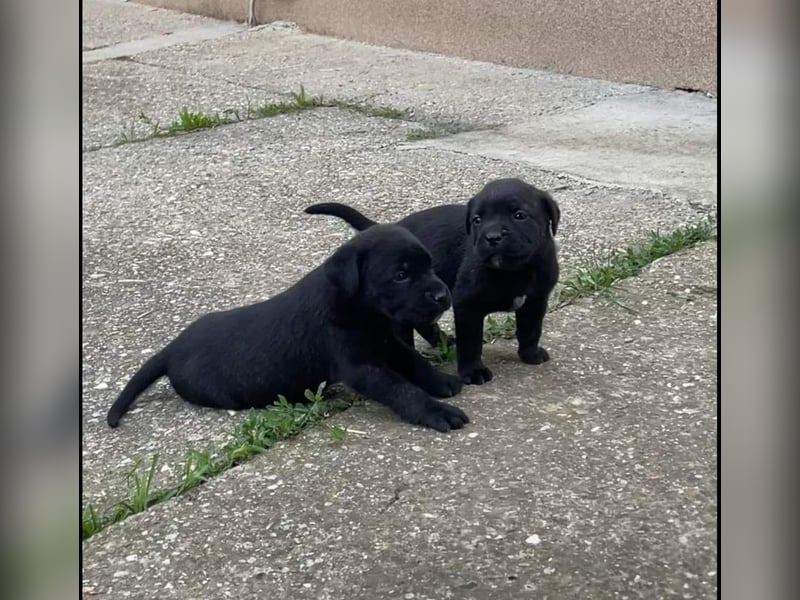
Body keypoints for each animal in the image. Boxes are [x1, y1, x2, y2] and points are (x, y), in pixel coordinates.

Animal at [106, 225, 468, 432]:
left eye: (430, 265)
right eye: (401, 275)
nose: (442, 295)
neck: (356, 307)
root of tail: (172, 349)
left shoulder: (386, 341)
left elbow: (413, 362)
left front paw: (441, 381)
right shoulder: (361, 366)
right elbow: (401, 388)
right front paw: (436, 411)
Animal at [306, 178, 564, 384]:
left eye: (519, 215)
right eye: (477, 220)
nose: (492, 237)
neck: (513, 271)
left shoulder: (536, 300)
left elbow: (531, 329)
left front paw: (530, 355)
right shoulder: (467, 306)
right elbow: (471, 342)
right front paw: (473, 372)